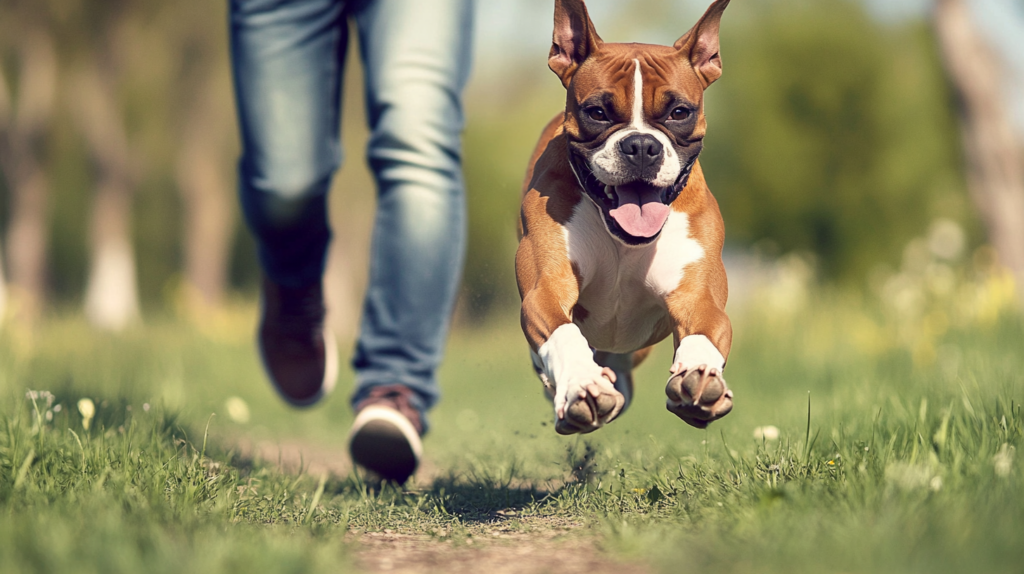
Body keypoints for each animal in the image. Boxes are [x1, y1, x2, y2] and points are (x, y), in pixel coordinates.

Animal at [520, 0, 737, 431]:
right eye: (597, 112)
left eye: (679, 112)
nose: (640, 146)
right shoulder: (545, 288)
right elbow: (563, 334)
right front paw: (581, 385)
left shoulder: (699, 297)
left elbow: (704, 332)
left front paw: (699, 378)